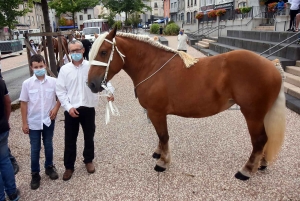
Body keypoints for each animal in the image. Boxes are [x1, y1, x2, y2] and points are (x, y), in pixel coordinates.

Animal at [86, 27, 286, 180]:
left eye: (103, 52)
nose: (91, 84)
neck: (152, 66)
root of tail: (272, 66)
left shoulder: (156, 112)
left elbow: (164, 136)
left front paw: (163, 162)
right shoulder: (155, 113)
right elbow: (160, 137)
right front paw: (159, 152)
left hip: (252, 114)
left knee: (259, 140)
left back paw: (246, 170)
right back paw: (261, 163)